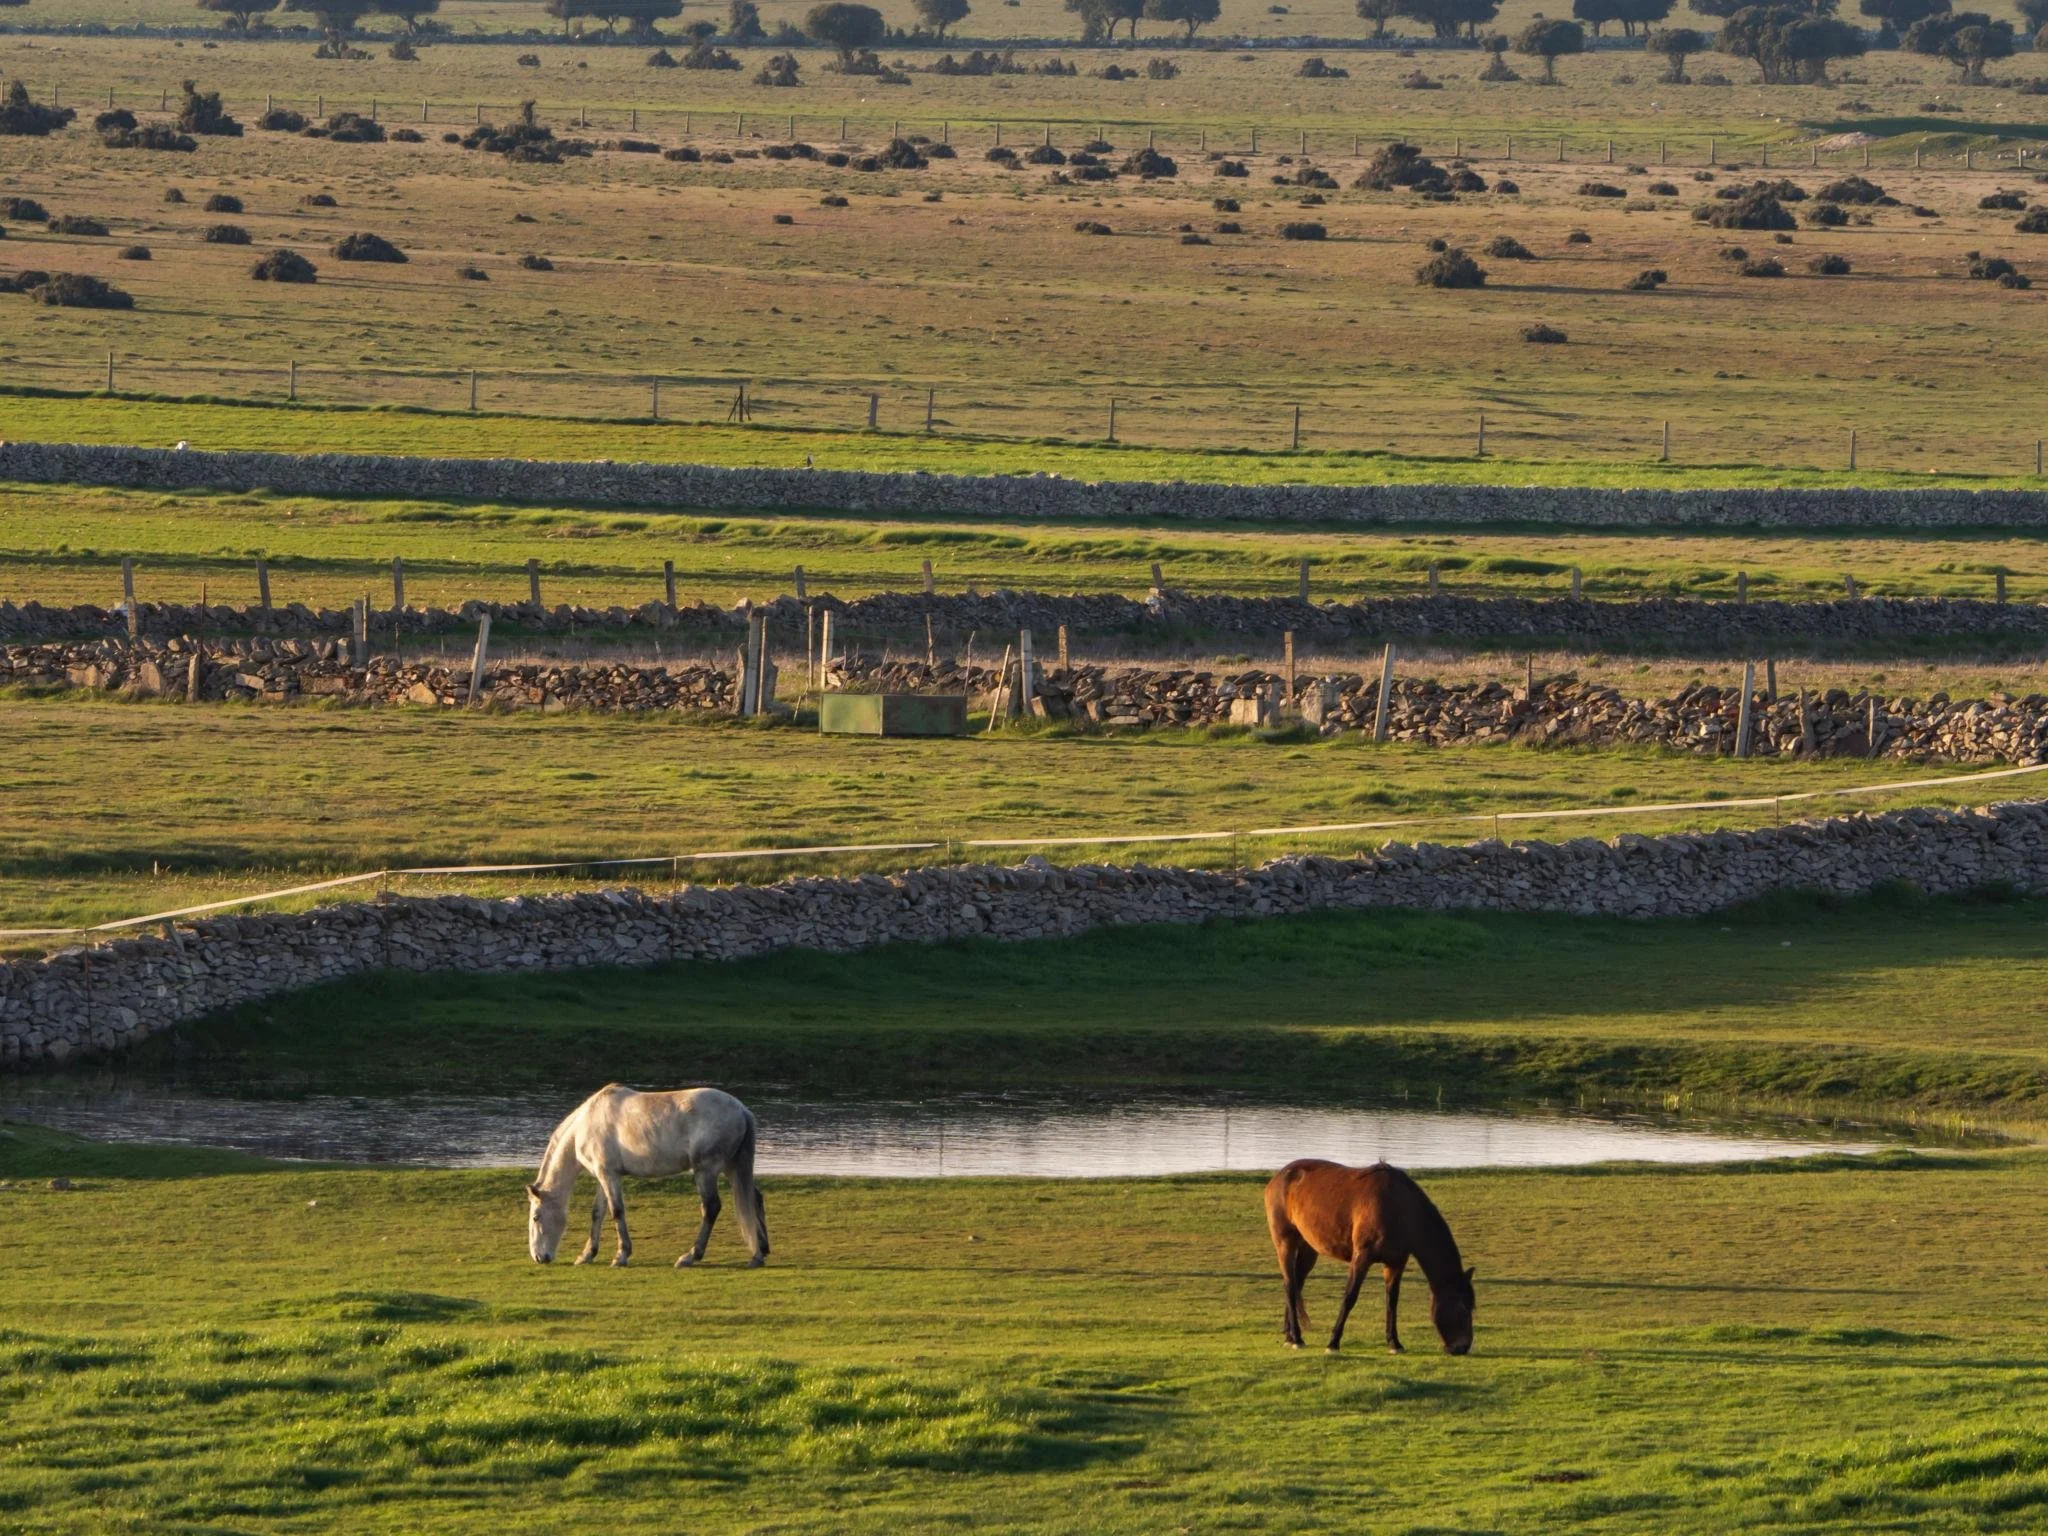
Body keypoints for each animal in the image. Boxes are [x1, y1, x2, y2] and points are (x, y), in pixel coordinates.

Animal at [526, 1084, 769, 1269]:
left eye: (536, 1217)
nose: (539, 1257)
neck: (586, 1123)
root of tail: (742, 1110)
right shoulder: (604, 1176)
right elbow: (597, 1213)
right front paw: (587, 1255)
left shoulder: (609, 1176)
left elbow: (616, 1211)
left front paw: (621, 1256)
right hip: (732, 1167)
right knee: (753, 1198)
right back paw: (759, 1254)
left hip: (706, 1171)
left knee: (711, 1208)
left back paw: (690, 1256)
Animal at [1264, 1159, 1475, 1355]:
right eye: (1462, 1308)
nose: (1462, 1347)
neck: (1398, 1206)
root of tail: (1279, 1176)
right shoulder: (1362, 1257)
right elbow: (1350, 1297)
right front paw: (1333, 1343)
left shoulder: (1396, 1262)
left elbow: (1392, 1301)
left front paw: (1394, 1343)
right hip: (1285, 1243)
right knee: (1290, 1285)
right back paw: (1296, 1338)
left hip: (1308, 1249)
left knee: (1296, 1284)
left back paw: (1290, 1335)